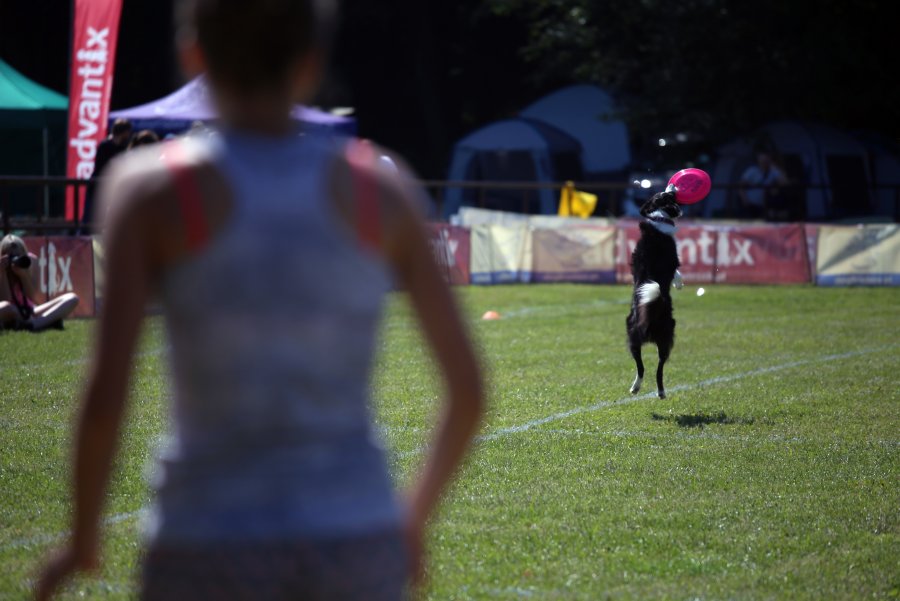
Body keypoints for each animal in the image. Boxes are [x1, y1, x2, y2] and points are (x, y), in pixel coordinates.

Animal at [624, 184, 684, 398]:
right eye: (669, 195)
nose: (673, 186)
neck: (659, 217)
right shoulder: (673, 260)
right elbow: (677, 271)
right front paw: (679, 283)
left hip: (632, 337)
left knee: (640, 366)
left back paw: (635, 387)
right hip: (667, 336)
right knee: (659, 368)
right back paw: (661, 392)